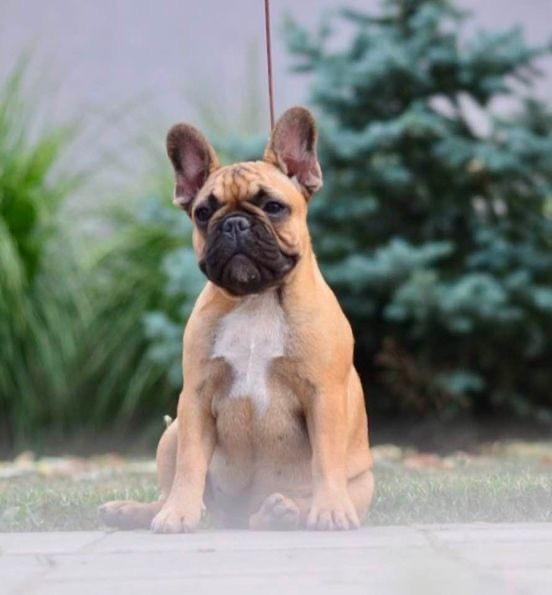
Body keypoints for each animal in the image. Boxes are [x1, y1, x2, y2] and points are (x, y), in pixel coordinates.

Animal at [99, 106, 374, 532]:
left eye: (274, 207)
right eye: (203, 213)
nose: (233, 223)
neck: (255, 299)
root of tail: (238, 518)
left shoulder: (323, 395)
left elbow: (326, 460)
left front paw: (329, 509)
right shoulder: (195, 398)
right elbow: (190, 464)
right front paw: (177, 513)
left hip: (364, 482)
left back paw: (283, 511)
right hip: (172, 432)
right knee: (175, 486)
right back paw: (137, 511)